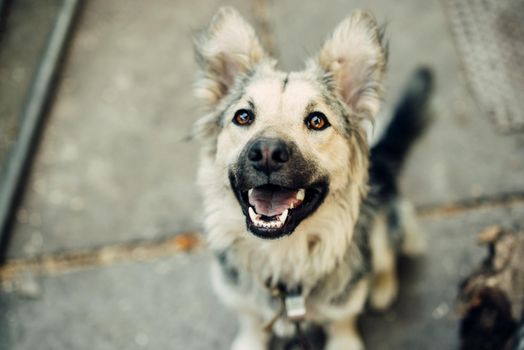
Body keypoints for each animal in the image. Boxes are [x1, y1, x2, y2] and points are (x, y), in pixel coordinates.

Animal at [193, 6, 434, 348]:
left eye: (317, 120)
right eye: (243, 116)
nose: (267, 152)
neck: (284, 256)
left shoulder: (343, 319)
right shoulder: (245, 309)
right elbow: (251, 326)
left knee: (387, 249)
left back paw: (382, 286)